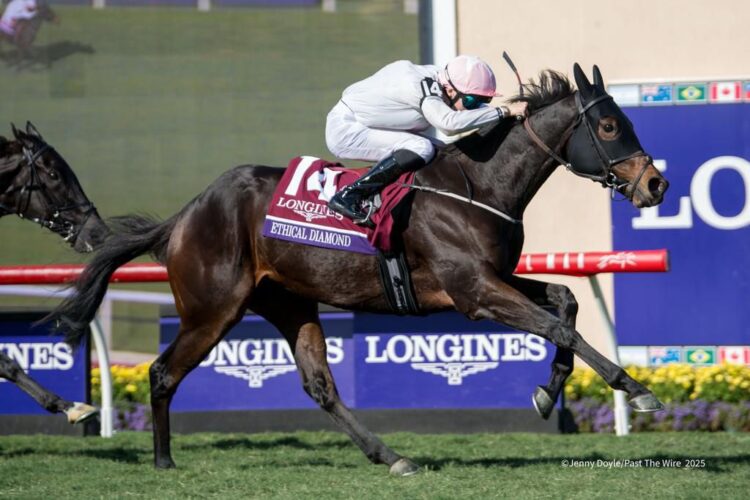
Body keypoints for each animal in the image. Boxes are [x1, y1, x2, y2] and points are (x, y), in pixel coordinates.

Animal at [46, 64, 669, 474]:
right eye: (609, 127)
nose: (656, 184)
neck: (479, 185)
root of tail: (185, 214)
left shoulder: (491, 279)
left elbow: (565, 303)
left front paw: (546, 391)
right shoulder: (474, 293)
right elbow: (561, 325)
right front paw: (636, 390)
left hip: (289, 302)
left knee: (320, 386)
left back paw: (390, 456)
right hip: (212, 309)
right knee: (162, 373)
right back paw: (163, 462)